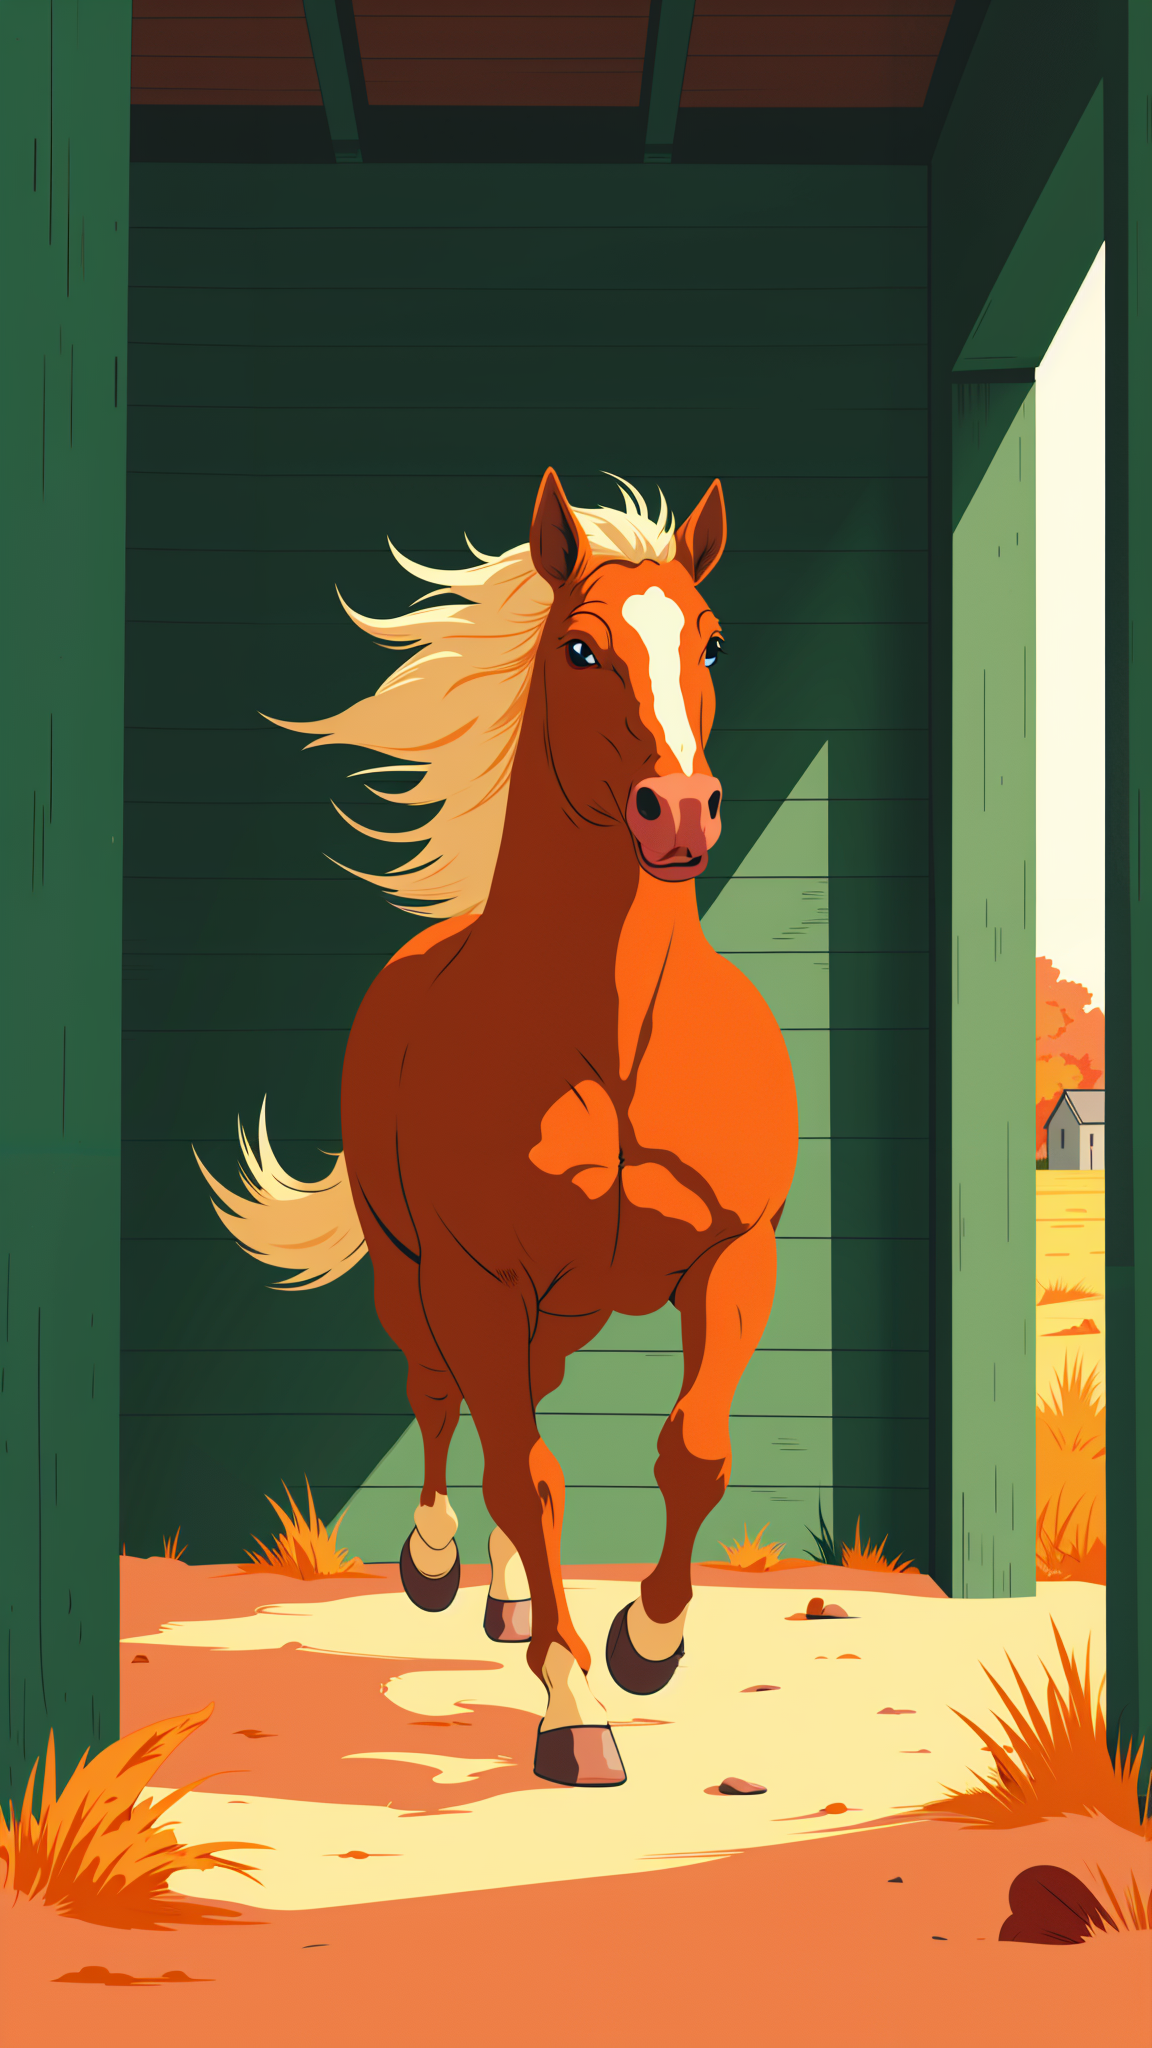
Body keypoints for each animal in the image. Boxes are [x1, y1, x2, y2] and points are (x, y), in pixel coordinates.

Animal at [197, 470, 798, 1787]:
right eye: (580, 647)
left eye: (712, 640)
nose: (680, 810)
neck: (613, 1037)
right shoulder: (479, 1275)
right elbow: (526, 1470)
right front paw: (575, 1706)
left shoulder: (735, 1253)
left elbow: (693, 1450)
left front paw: (646, 1641)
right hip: (421, 1272)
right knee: (442, 1400)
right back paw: (440, 1566)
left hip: (566, 1308)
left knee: (509, 1405)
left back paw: (515, 1598)